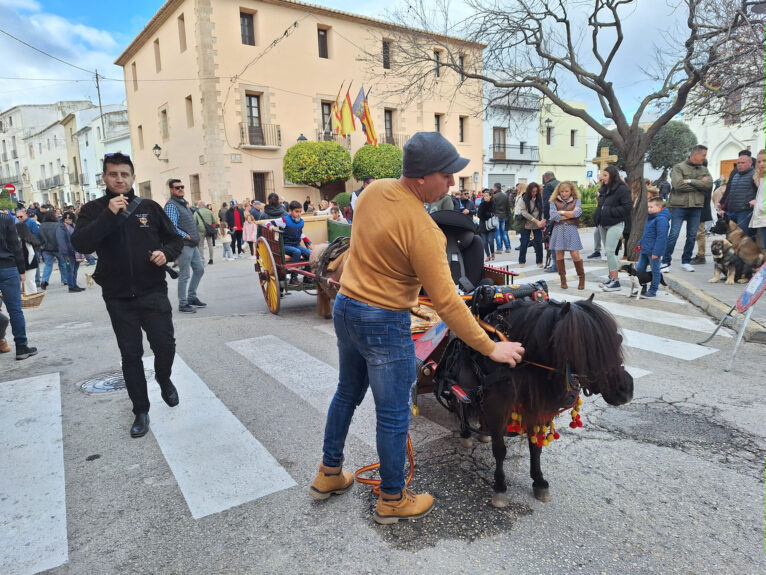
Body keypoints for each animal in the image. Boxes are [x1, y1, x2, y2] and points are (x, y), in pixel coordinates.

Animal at [438, 296, 636, 508]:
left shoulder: (536, 410)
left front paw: (539, 481)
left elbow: (536, 448)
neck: (517, 363)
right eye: (585, 349)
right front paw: (500, 487)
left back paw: (483, 432)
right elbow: (500, 451)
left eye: (617, 339)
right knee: (460, 408)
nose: (625, 390)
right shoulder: (499, 411)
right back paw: (466, 433)